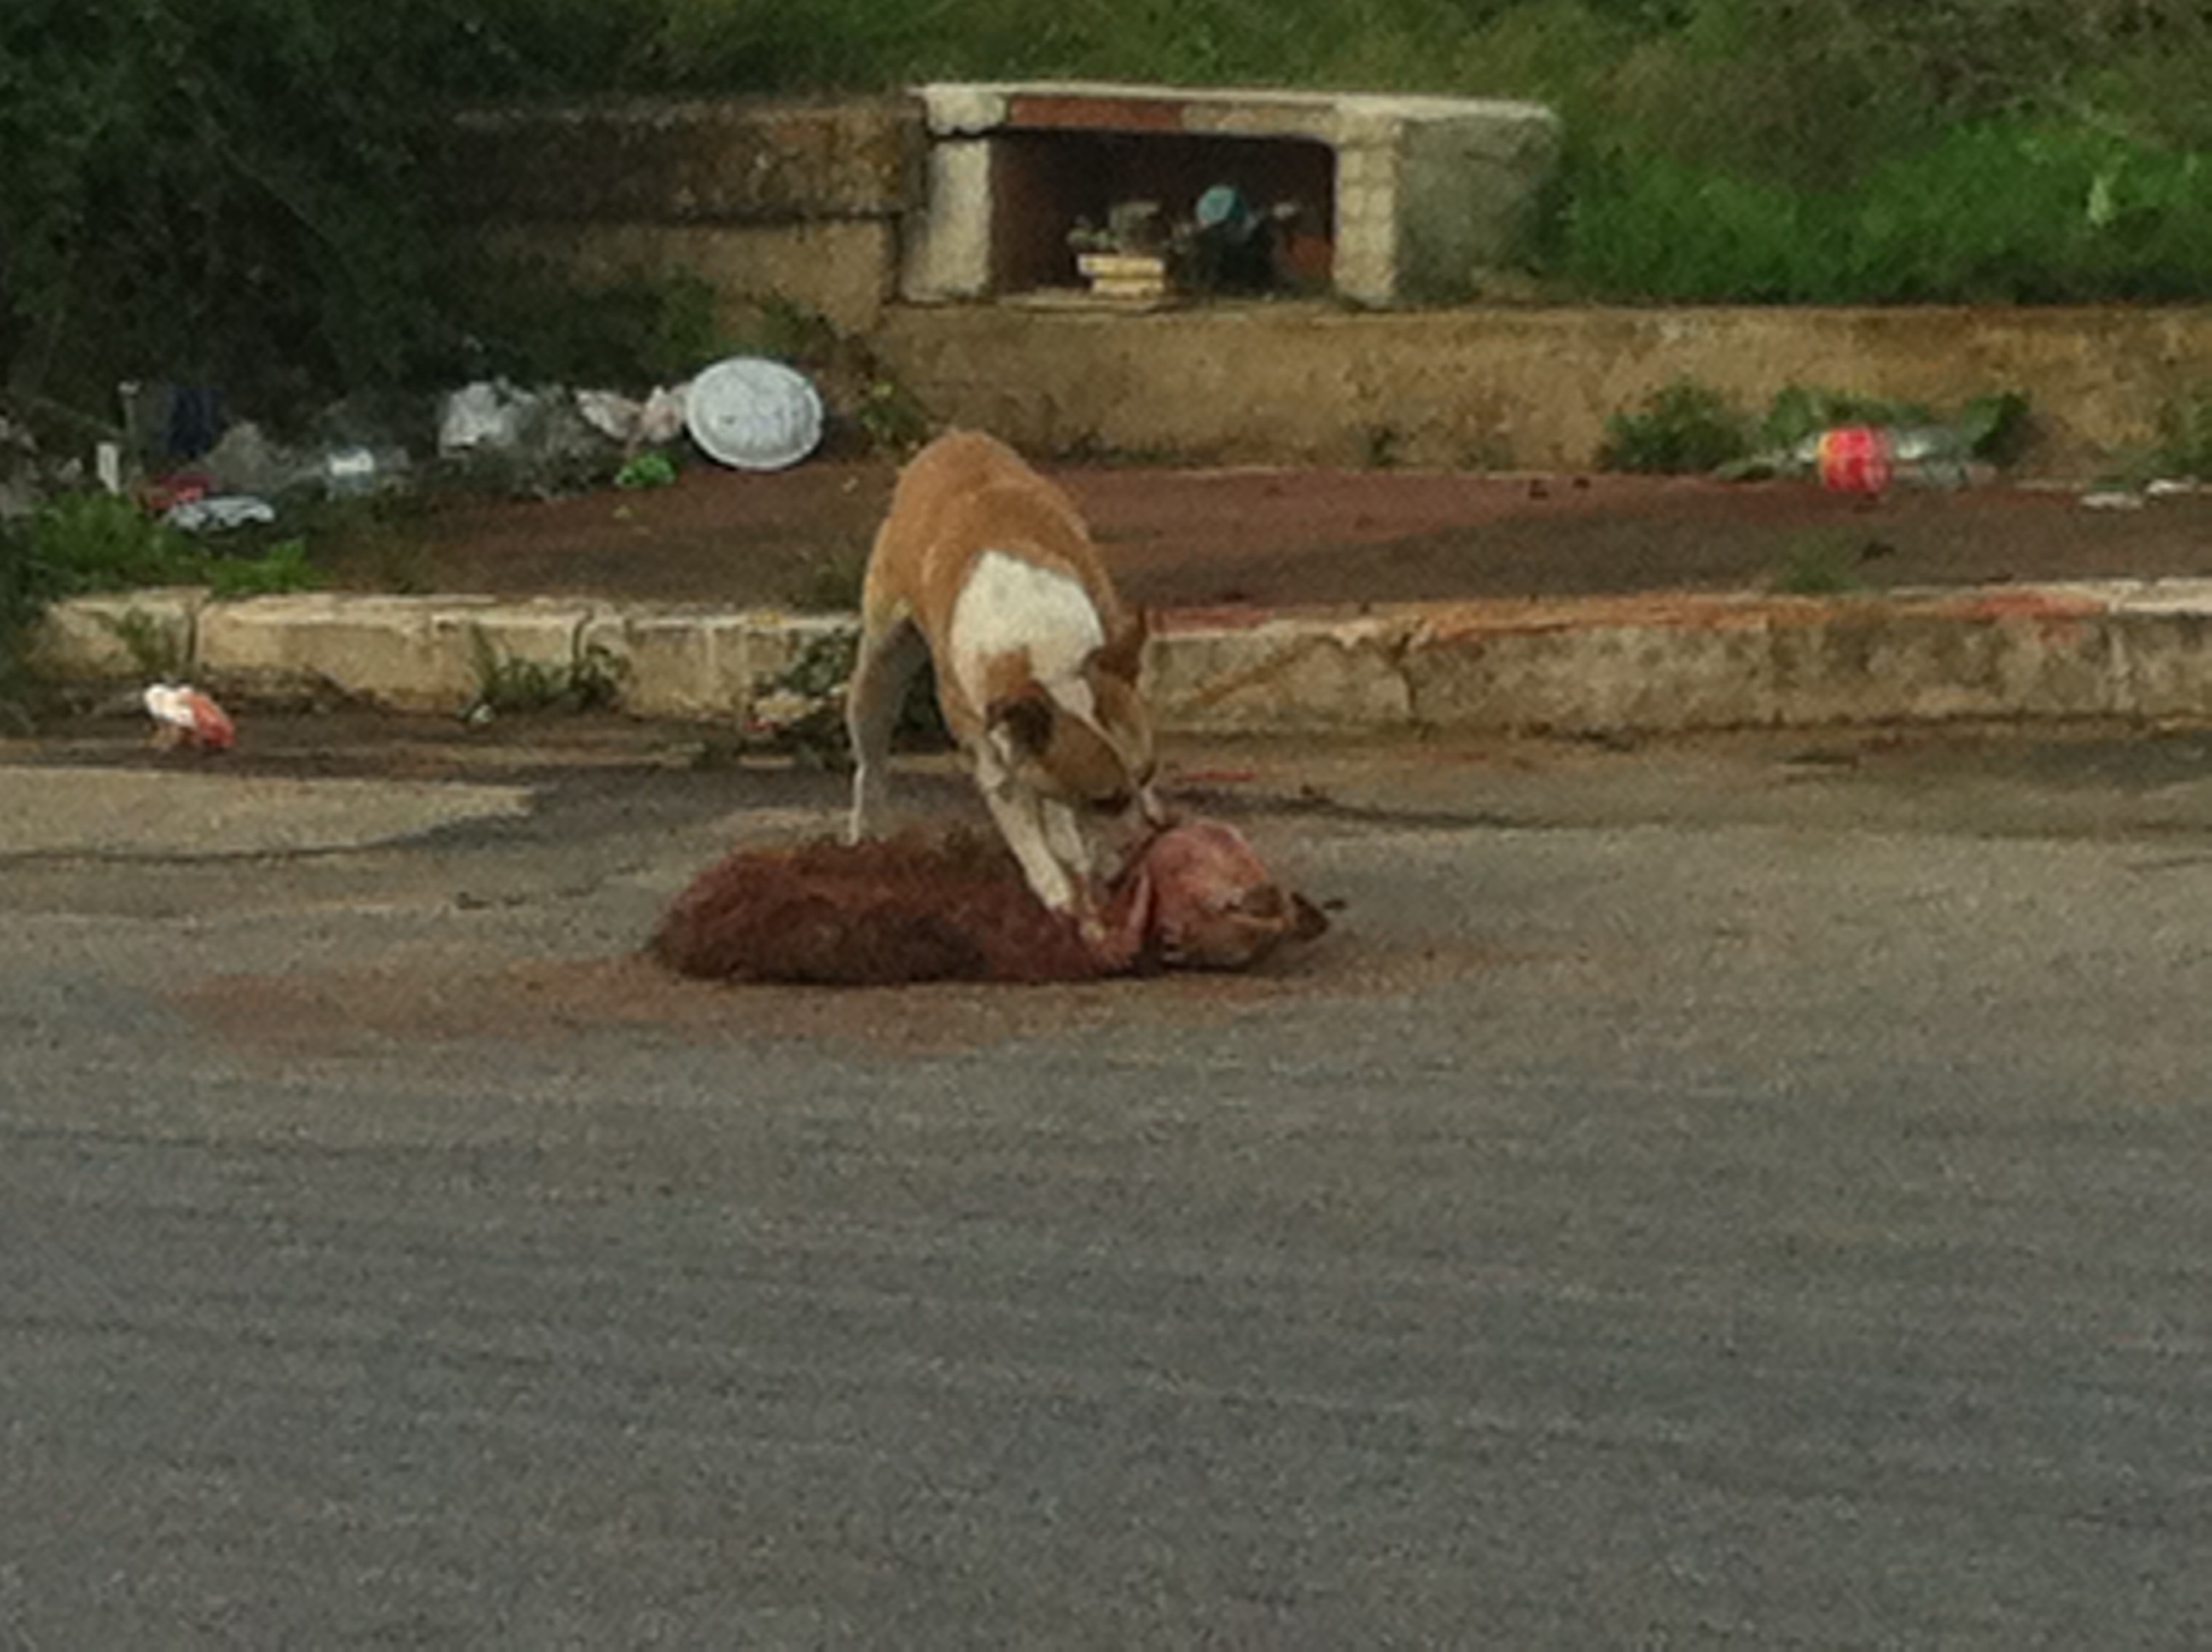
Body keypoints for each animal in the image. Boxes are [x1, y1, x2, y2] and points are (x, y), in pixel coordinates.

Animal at [840, 433, 1167, 937]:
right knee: (871, 758)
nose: (1154, 841)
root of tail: (952, 438)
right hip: (879, 666)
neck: (1039, 649)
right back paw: (868, 830)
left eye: (1149, 772)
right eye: (1105, 800)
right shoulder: (989, 744)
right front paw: (1062, 894)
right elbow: (1027, 828)